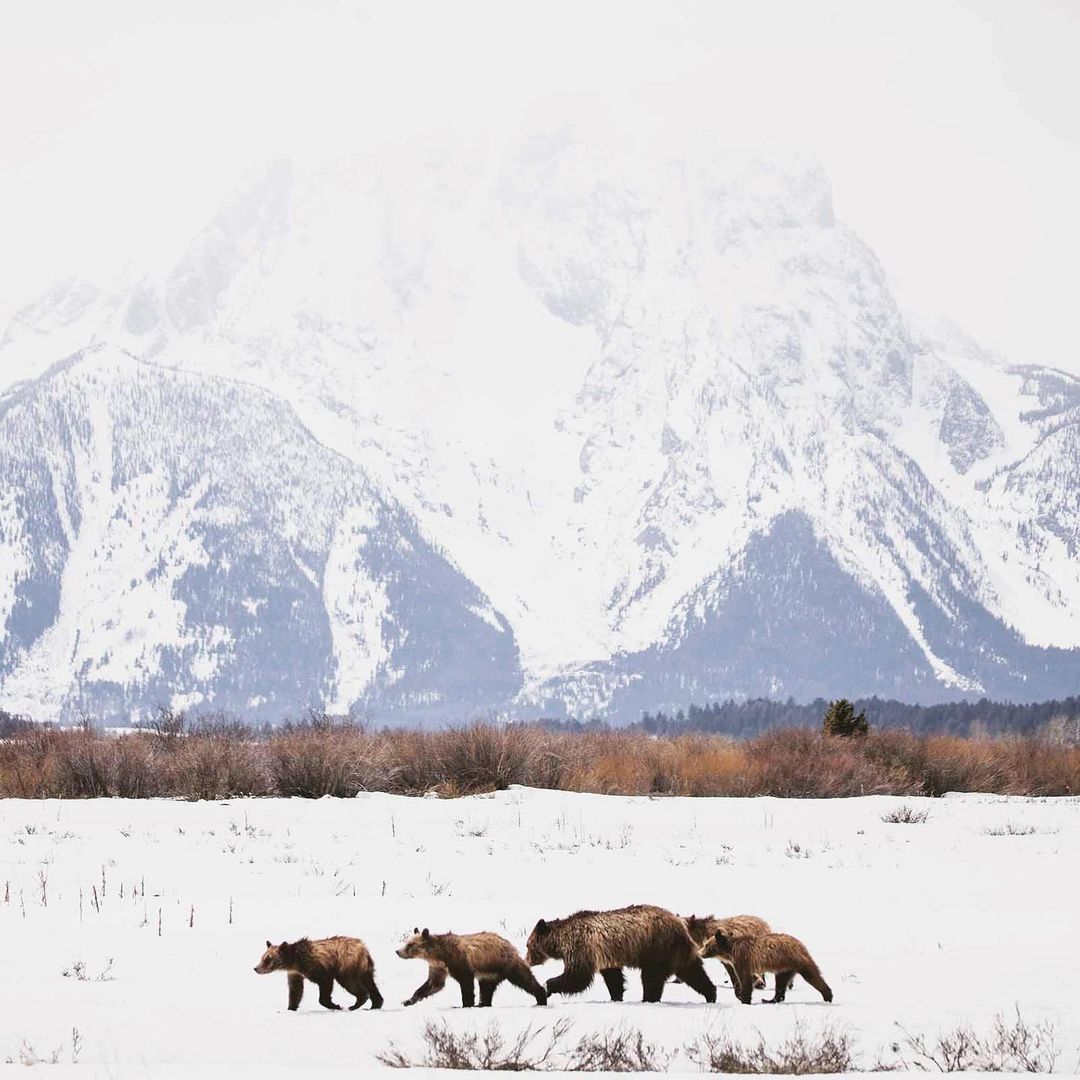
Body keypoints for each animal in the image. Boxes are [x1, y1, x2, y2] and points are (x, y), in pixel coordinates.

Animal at [253, 937, 384, 1010]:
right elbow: (295, 990)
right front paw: (291, 1007)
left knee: (352, 983)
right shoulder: (295, 973)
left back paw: (357, 1004)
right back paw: (375, 1004)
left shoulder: (317, 967)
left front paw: (335, 1005)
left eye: (268, 959)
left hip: (346, 965)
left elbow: (325, 983)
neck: (295, 962)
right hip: (362, 968)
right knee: (370, 983)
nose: (256, 968)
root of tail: (363, 948)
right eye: (263, 957)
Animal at [397, 924, 548, 1006]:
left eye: (410, 944)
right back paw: (482, 1004)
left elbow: (466, 983)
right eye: (406, 942)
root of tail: (510, 945)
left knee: (524, 978)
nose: (398, 951)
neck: (439, 954)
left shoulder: (458, 961)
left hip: (505, 964)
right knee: (486, 989)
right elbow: (433, 984)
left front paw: (466, 1003)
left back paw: (541, 996)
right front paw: (408, 1000)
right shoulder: (437, 966)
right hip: (489, 974)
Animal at [524, 902, 712, 1002]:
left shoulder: (580, 947)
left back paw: (648, 999)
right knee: (694, 972)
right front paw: (616, 996)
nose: (527, 961)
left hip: (657, 948)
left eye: (528, 945)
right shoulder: (606, 956)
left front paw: (548, 985)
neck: (560, 940)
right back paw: (711, 994)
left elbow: (577, 976)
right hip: (678, 952)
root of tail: (680, 925)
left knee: (651, 978)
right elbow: (613, 977)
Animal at [699, 928, 833, 1002]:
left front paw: (745, 999)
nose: (700, 953)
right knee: (781, 983)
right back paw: (770, 999)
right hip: (785, 967)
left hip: (795, 960)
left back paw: (828, 995)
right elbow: (752, 978)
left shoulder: (742, 960)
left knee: (812, 975)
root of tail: (800, 943)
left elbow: (744, 979)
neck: (731, 950)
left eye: (706, 945)